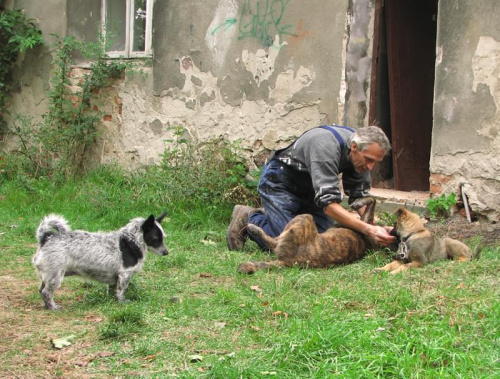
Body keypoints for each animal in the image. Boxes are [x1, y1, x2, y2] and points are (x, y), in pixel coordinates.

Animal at [34, 212, 170, 310]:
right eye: (156, 239)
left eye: (163, 238)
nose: (166, 252)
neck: (130, 240)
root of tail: (46, 238)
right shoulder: (125, 275)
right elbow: (122, 290)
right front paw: (122, 302)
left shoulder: (115, 278)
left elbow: (114, 290)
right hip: (55, 277)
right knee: (46, 292)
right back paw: (53, 307)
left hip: (47, 276)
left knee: (41, 290)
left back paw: (47, 306)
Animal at [237, 197, 376, 274]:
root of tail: (287, 262)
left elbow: (372, 200)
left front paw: (358, 202)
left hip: (305, 217)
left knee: (273, 242)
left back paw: (254, 228)